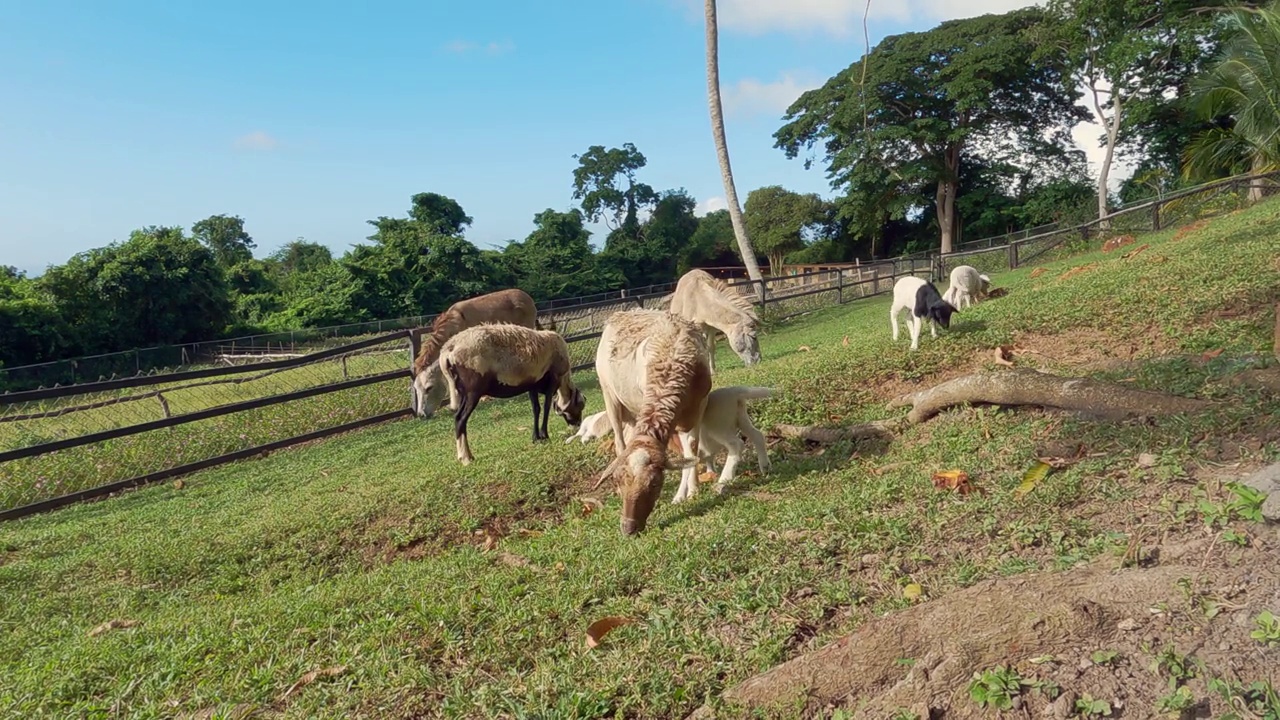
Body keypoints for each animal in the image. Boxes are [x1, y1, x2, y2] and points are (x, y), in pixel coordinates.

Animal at [435, 320, 586, 466]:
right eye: (579, 406)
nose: (578, 425)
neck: (564, 381)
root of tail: (448, 350)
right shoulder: (552, 380)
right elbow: (547, 407)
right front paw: (545, 436)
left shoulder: (532, 385)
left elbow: (536, 409)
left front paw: (536, 438)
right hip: (473, 391)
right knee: (460, 418)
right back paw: (465, 458)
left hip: (463, 393)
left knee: (458, 417)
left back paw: (467, 456)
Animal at [593, 307, 716, 532]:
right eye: (619, 480)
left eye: (654, 484)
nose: (628, 528)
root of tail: (623, 312)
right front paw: (683, 494)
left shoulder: (698, 407)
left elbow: (691, 449)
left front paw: (691, 491)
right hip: (609, 394)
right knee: (620, 442)